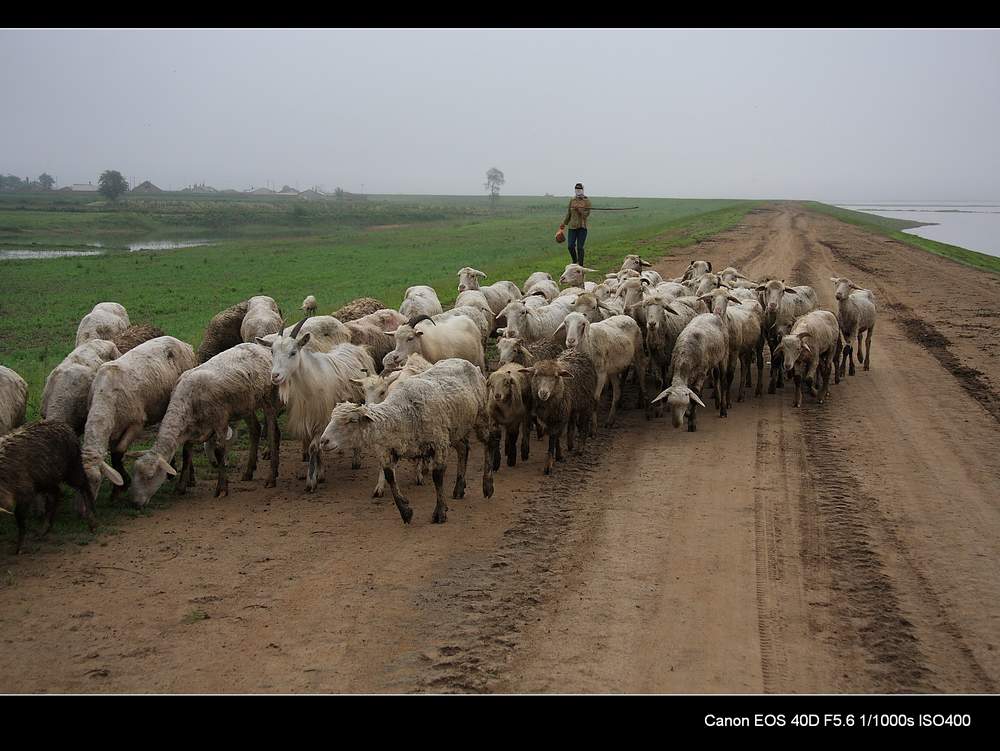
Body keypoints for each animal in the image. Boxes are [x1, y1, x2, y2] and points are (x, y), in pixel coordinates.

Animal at [0, 420, 96, 556]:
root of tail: (64, 425)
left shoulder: (25, 491)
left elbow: (20, 518)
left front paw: (20, 547)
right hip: (45, 478)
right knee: (56, 494)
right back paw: (44, 530)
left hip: (72, 468)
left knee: (84, 485)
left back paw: (92, 521)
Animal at [81, 338, 198, 502]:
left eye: (97, 480)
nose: (87, 506)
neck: (105, 397)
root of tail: (183, 343)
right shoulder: (113, 429)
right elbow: (114, 453)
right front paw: (118, 488)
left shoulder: (135, 423)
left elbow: (118, 452)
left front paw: (123, 485)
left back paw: (190, 478)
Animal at [318, 356, 494, 524]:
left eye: (352, 420)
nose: (323, 441)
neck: (402, 413)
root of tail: (466, 362)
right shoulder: (391, 448)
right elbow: (390, 476)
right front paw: (405, 511)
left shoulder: (438, 443)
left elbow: (437, 477)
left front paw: (440, 512)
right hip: (455, 428)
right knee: (464, 448)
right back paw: (459, 488)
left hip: (480, 416)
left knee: (488, 443)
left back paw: (487, 485)